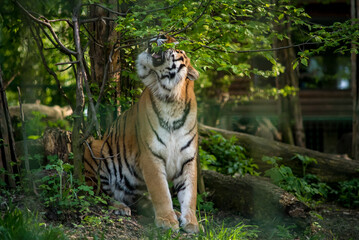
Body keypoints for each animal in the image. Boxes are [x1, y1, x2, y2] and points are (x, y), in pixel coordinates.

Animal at [85, 35, 202, 232]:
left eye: (176, 44)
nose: (160, 34)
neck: (171, 99)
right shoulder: (150, 155)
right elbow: (161, 192)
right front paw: (167, 221)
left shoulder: (188, 158)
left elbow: (190, 194)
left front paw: (191, 223)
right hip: (94, 148)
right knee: (100, 194)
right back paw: (121, 207)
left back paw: (175, 213)